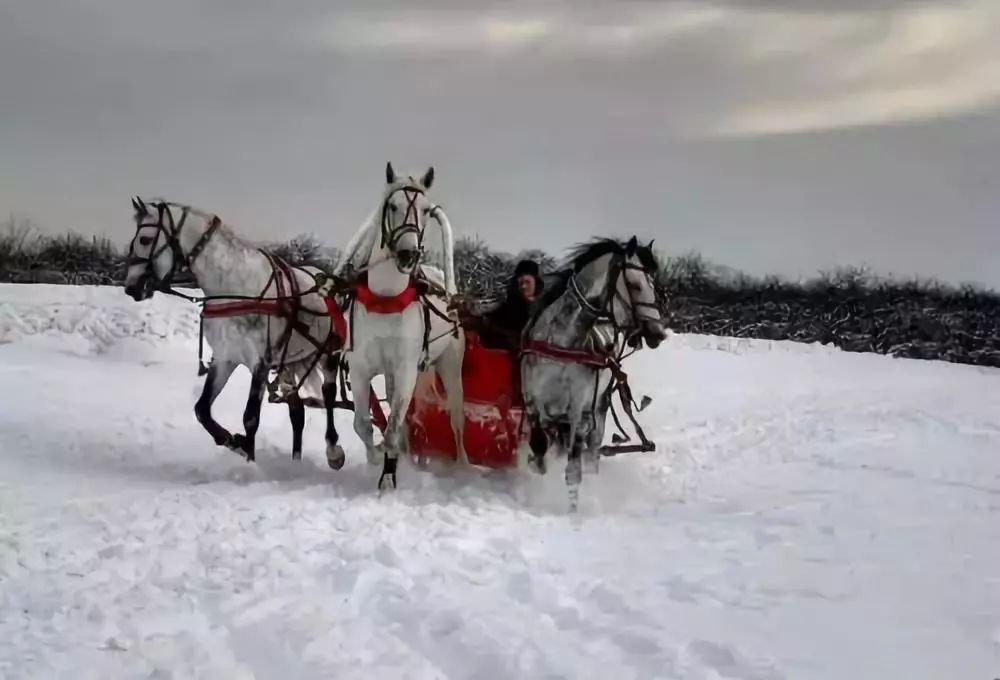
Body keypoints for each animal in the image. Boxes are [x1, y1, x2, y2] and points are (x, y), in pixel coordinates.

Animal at [122, 198, 348, 468]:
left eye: (145, 239)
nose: (132, 287)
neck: (237, 289)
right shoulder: (225, 357)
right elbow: (202, 409)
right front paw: (230, 440)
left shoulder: (260, 362)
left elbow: (250, 418)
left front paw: (248, 457)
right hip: (289, 363)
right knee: (297, 412)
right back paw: (295, 461)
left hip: (328, 353)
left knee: (329, 395)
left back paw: (333, 449)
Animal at [332, 161, 464, 486]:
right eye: (392, 206)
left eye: (426, 210)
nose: (408, 254)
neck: (385, 299)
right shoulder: (361, 368)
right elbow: (363, 424)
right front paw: (376, 459)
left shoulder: (406, 370)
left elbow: (392, 428)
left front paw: (388, 478)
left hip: (450, 364)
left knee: (456, 419)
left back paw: (462, 465)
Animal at [520, 236, 668, 508]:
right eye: (634, 285)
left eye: (654, 286)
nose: (658, 334)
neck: (561, 342)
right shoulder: (534, 405)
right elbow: (540, 457)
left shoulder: (579, 410)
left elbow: (573, 471)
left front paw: (572, 507)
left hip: (599, 407)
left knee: (591, 455)